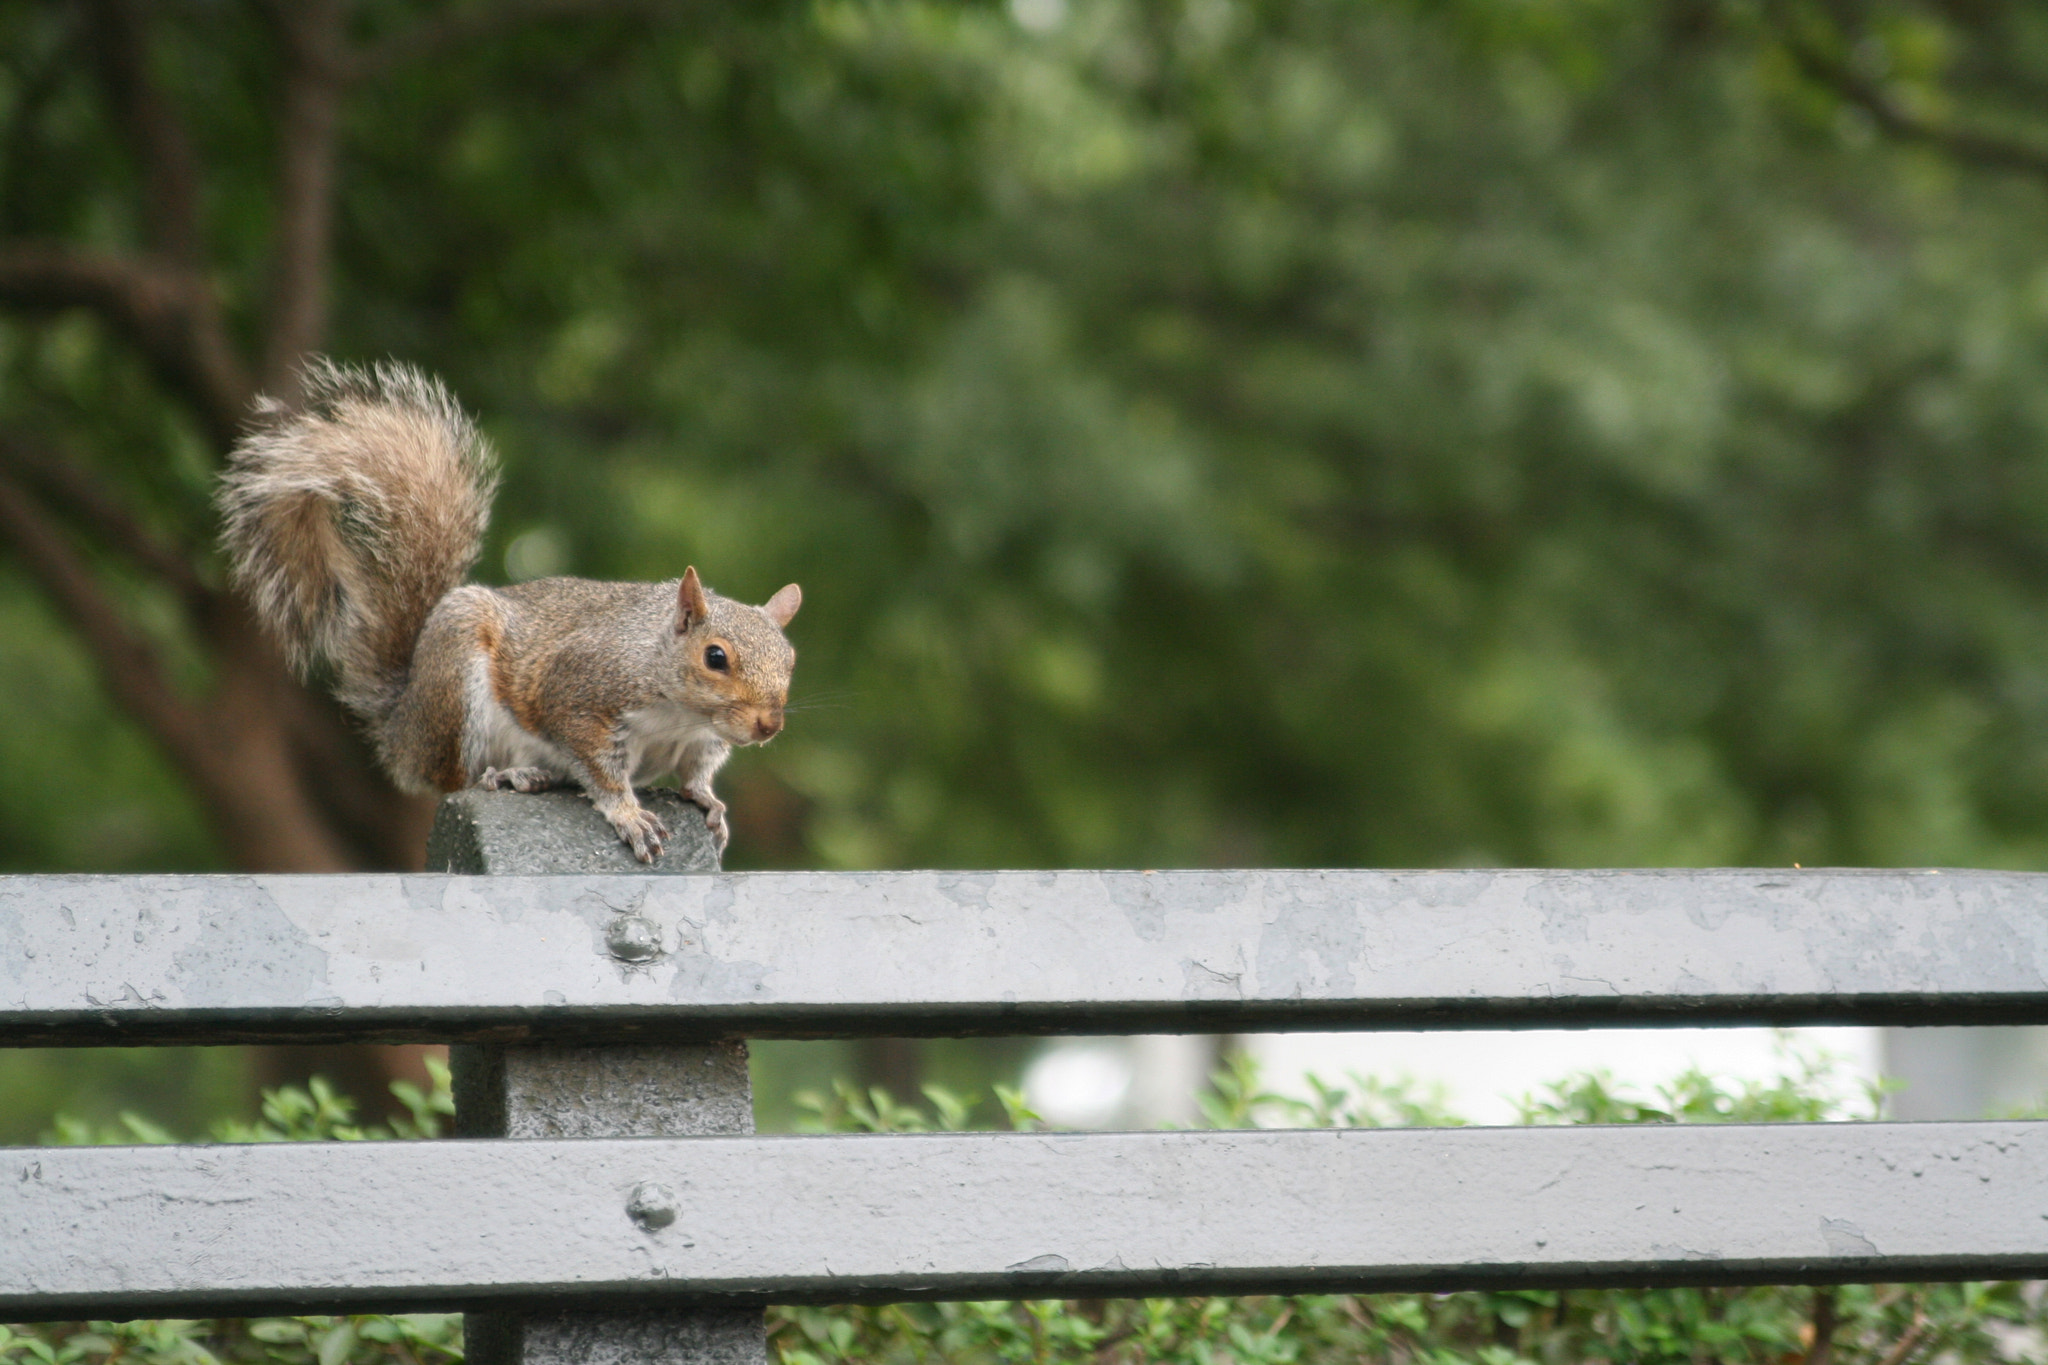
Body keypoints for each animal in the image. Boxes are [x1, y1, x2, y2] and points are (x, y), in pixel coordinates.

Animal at [216, 357, 800, 862]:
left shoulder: (699, 742)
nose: (769, 725)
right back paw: (506, 776)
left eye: (791, 660)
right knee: (455, 778)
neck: (680, 709)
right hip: (457, 690)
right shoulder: (580, 694)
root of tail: (405, 725)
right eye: (715, 657)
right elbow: (600, 770)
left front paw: (708, 801)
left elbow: (697, 774)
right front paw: (629, 815)